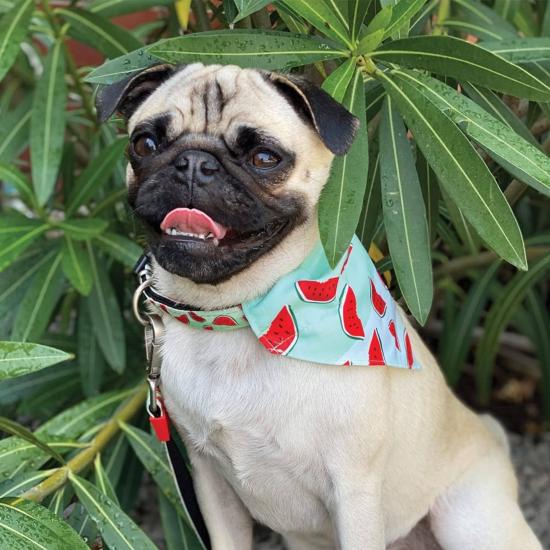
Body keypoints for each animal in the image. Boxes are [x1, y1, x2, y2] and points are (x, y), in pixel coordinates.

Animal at [97, 62, 540, 548]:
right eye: (146, 143)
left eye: (264, 158)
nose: (195, 162)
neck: (232, 314)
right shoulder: (210, 484)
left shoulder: (354, 493)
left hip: (469, 520)